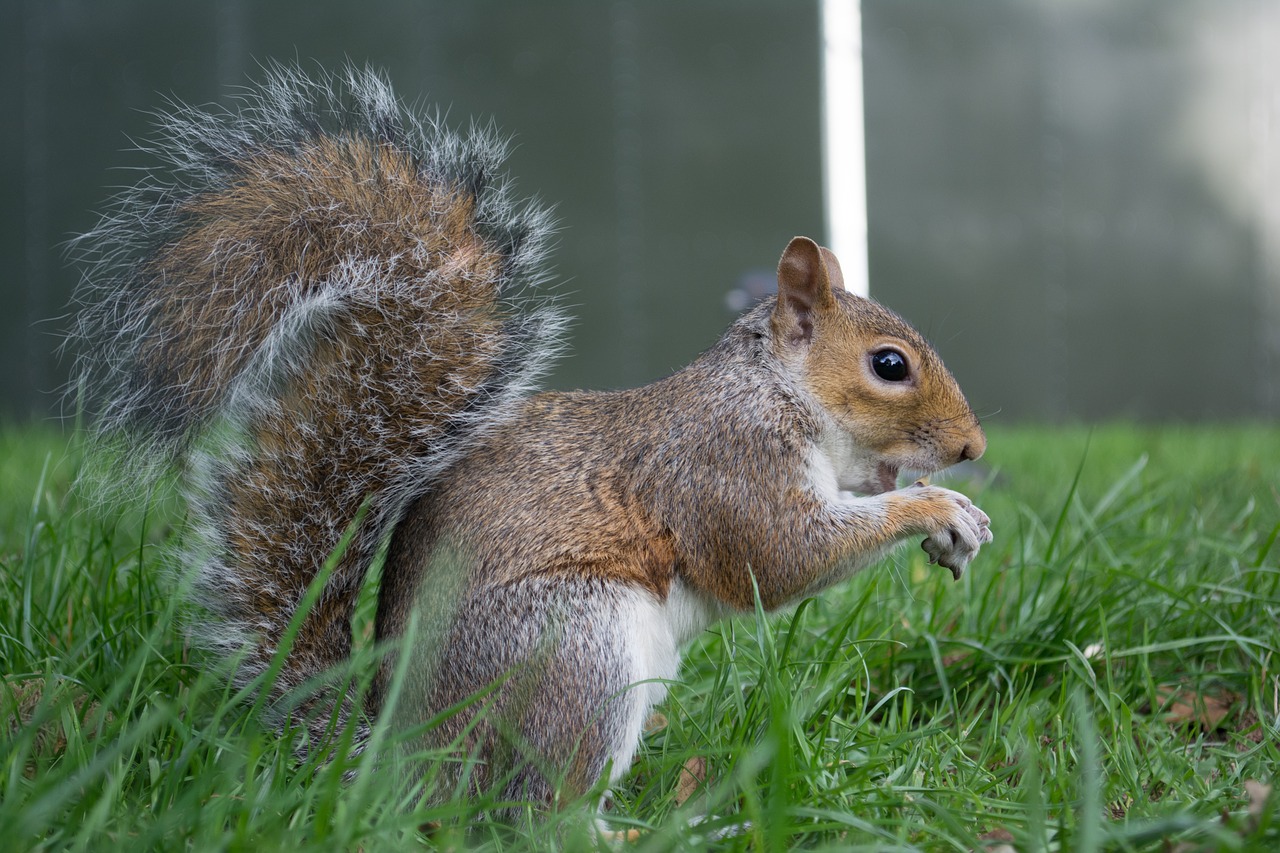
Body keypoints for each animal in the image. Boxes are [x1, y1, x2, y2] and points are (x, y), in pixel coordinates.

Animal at [70, 64, 993, 809]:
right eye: (888, 364)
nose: (972, 448)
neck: (777, 393)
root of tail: (406, 760)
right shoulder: (723, 463)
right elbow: (781, 556)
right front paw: (935, 505)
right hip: (574, 650)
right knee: (536, 807)